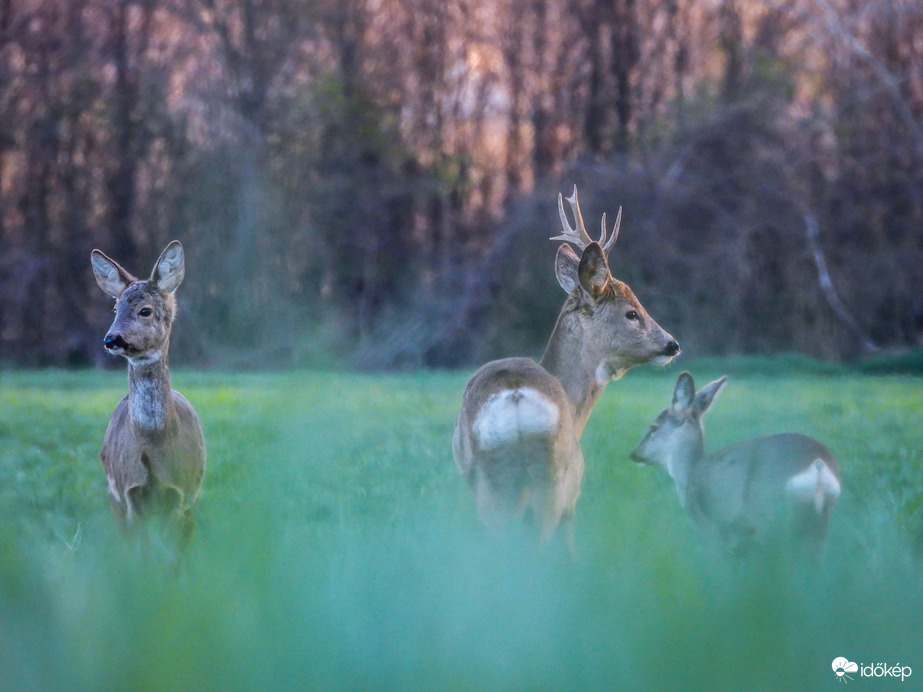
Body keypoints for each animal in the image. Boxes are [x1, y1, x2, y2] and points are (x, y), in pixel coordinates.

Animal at [90, 242, 206, 540]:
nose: (111, 339)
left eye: (145, 310)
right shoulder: (128, 490)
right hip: (113, 495)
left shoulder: (183, 491)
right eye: (115, 308)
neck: (153, 439)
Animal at [452, 187, 680, 544]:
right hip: (553, 479)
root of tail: (514, 395)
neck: (575, 407)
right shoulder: (573, 493)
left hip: (489, 483)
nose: (672, 344)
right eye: (632, 312)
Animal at [632, 370, 840, 556]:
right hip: (816, 526)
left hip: (771, 515)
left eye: (653, 427)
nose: (634, 453)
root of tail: (817, 464)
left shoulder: (708, 530)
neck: (689, 476)